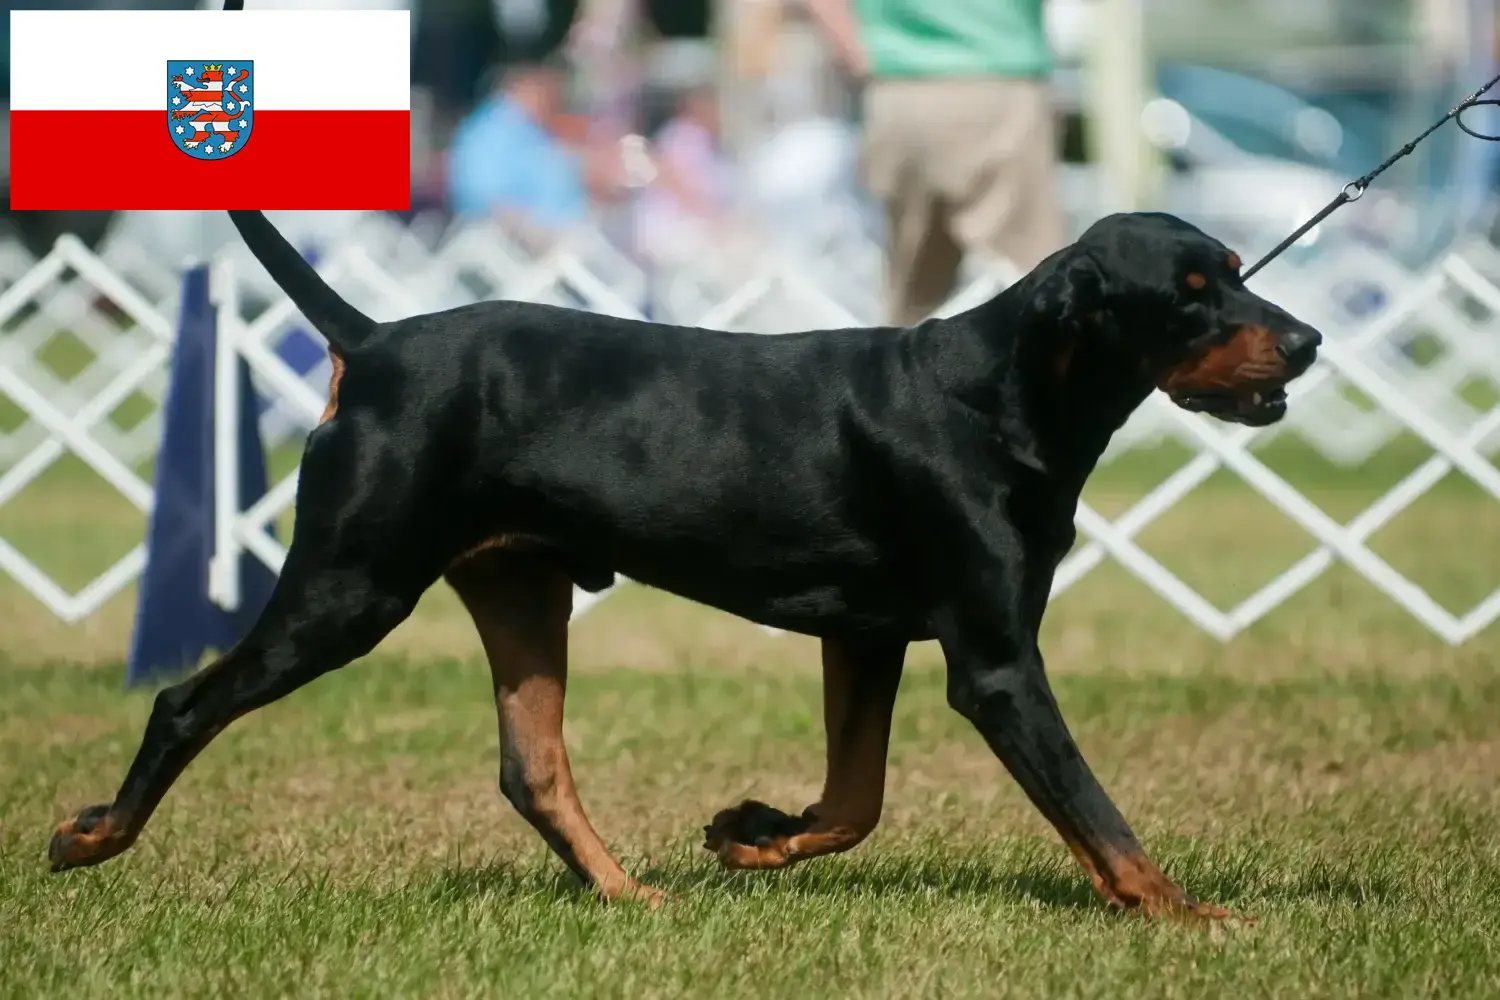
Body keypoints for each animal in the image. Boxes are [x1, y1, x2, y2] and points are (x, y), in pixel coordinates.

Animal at [43, 209, 1314, 923]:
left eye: (1238, 267)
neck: (1002, 392)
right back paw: (94, 836)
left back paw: (621, 894)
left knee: (533, 769)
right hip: (350, 587)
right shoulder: (995, 663)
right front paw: (1189, 913)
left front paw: (752, 831)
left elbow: (856, 799)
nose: (1305, 338)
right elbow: (1096, 812)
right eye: (1187, 294)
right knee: (187, 698)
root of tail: (375, 339)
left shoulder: (866, 634)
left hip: (521, 589)